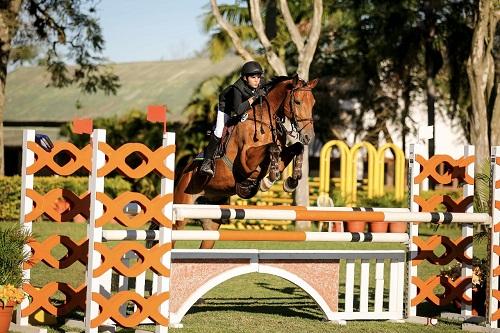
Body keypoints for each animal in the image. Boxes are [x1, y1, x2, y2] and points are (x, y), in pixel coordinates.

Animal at [174, 74, 318, 248]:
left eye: (313, 103)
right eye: (297, 102)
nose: (309, 137)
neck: (265, 121)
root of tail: (184, 172)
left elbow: (296, 148)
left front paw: (291, 180)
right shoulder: (245, 161)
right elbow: (272, 148)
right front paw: (269, 179)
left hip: (212, 221)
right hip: (182, 210)